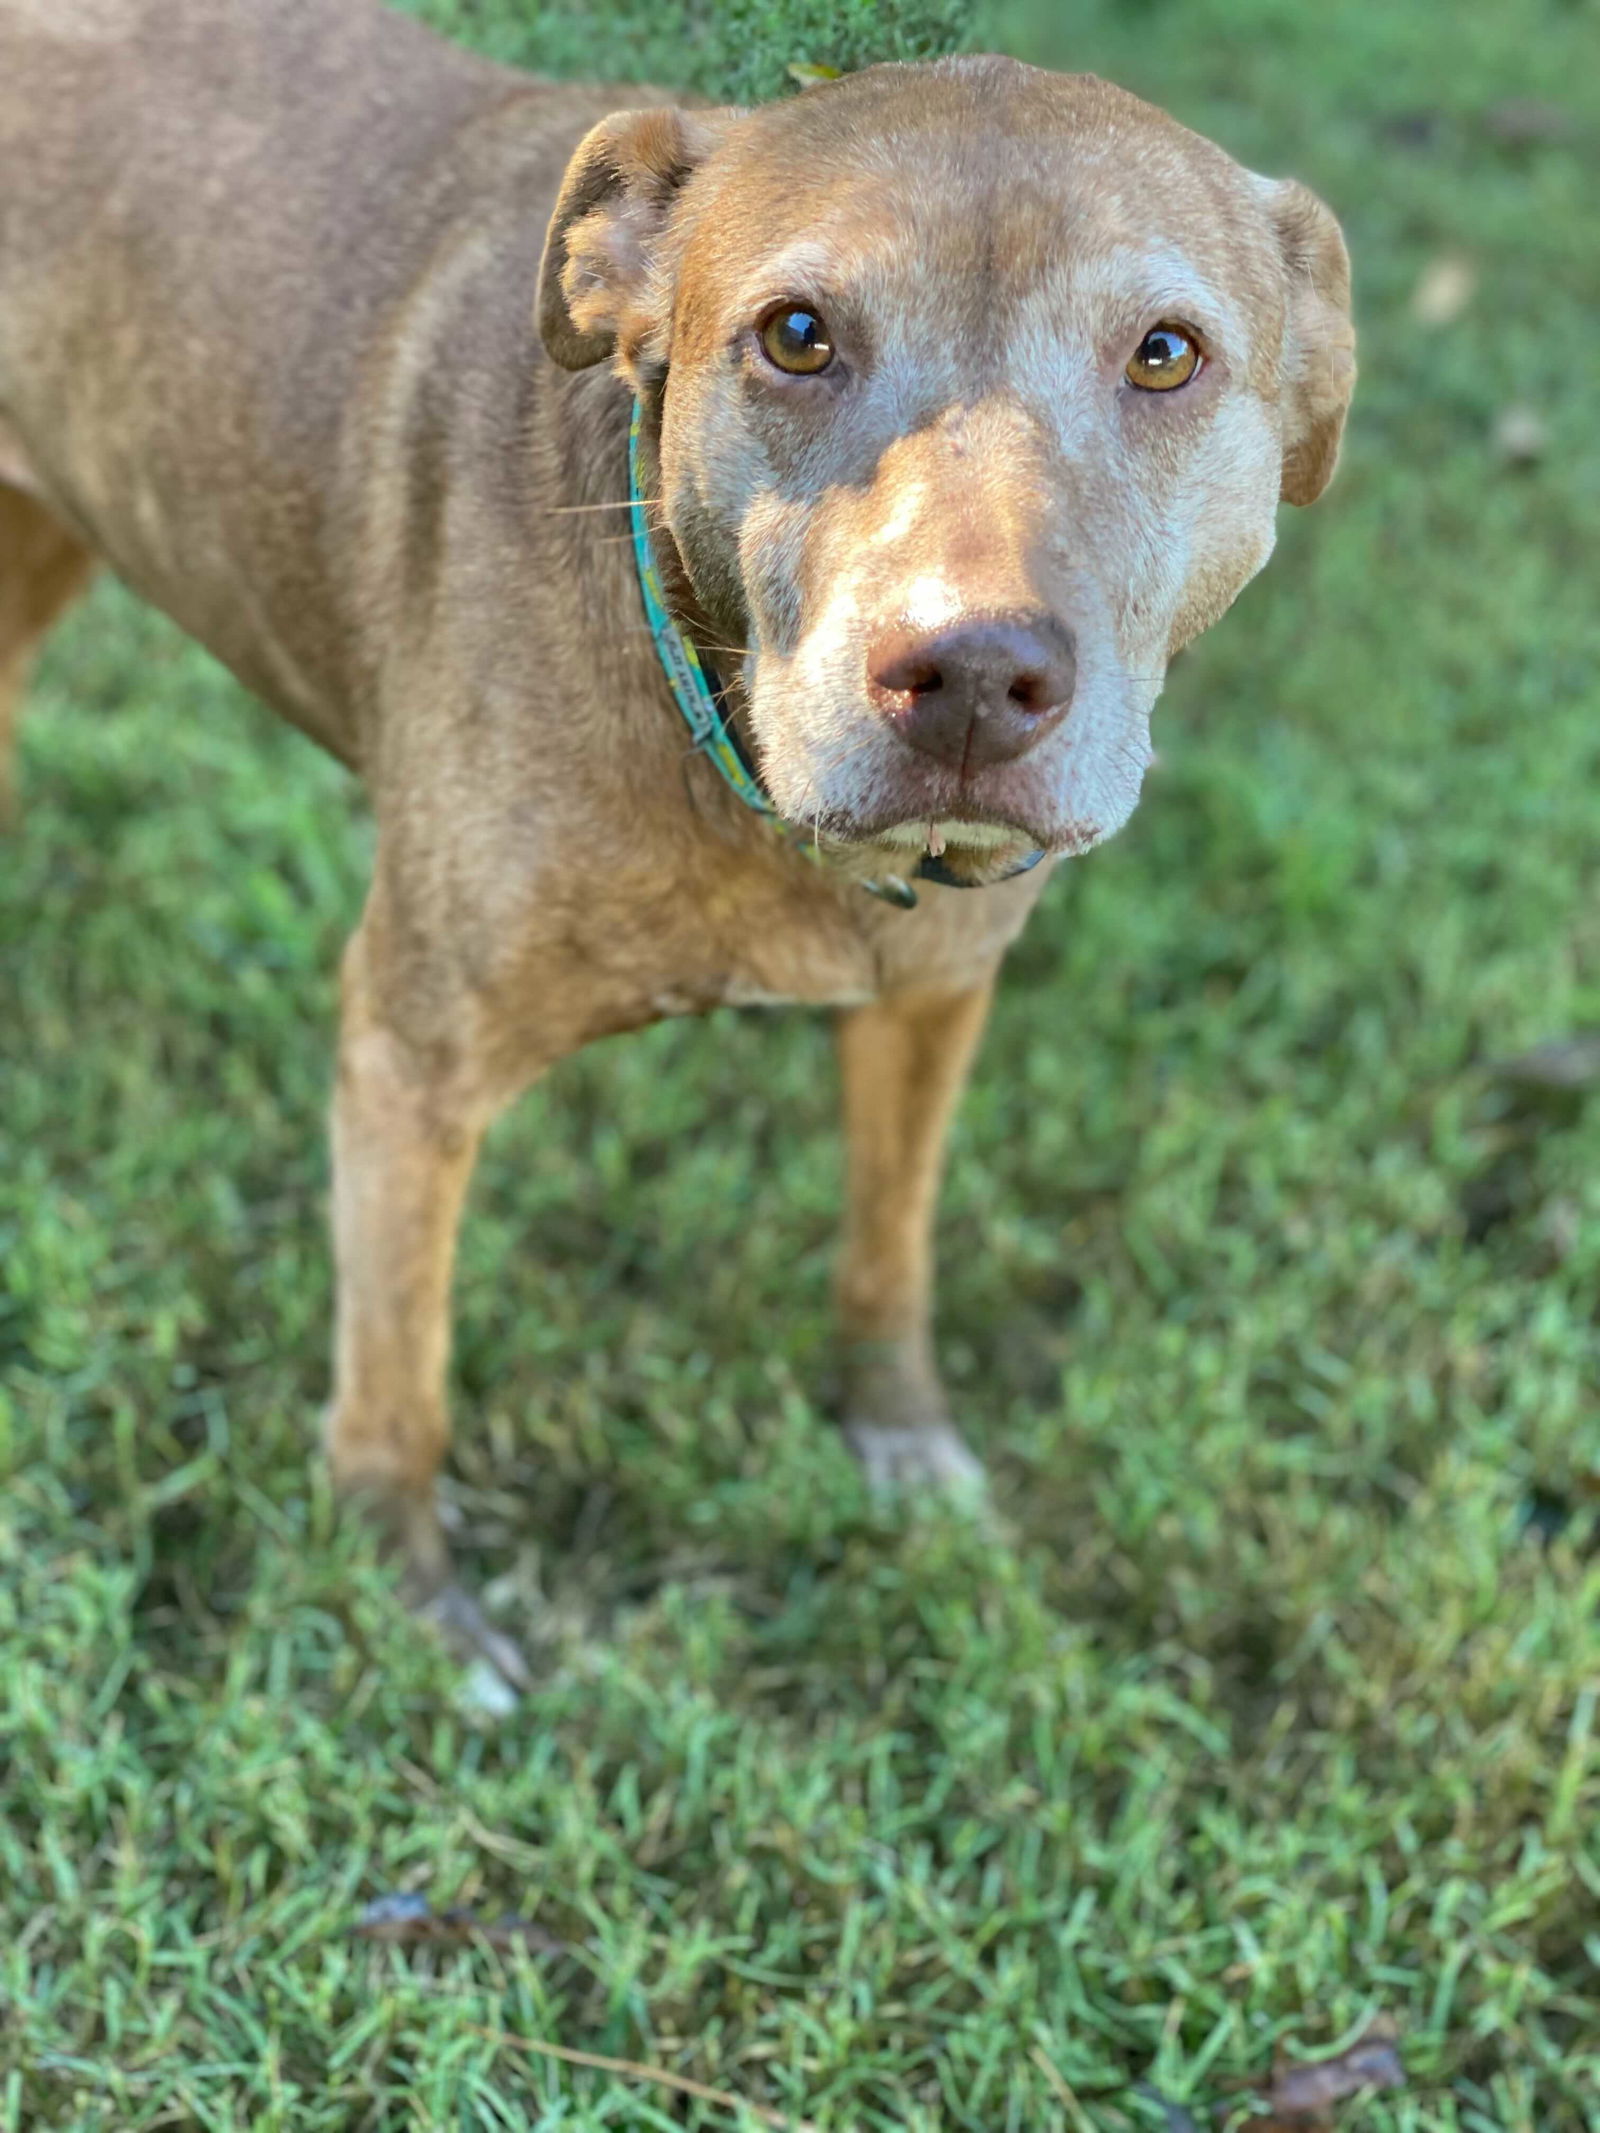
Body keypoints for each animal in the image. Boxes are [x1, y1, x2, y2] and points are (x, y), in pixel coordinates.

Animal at [0, 0, 1356, 1680]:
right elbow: (397, 1381)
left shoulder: (934, 1000)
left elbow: (891, 1245)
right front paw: (410, 1604)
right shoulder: (410, 1059)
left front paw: (899, 1435)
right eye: (797, 335)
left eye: (1166, 356)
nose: (971, 674)